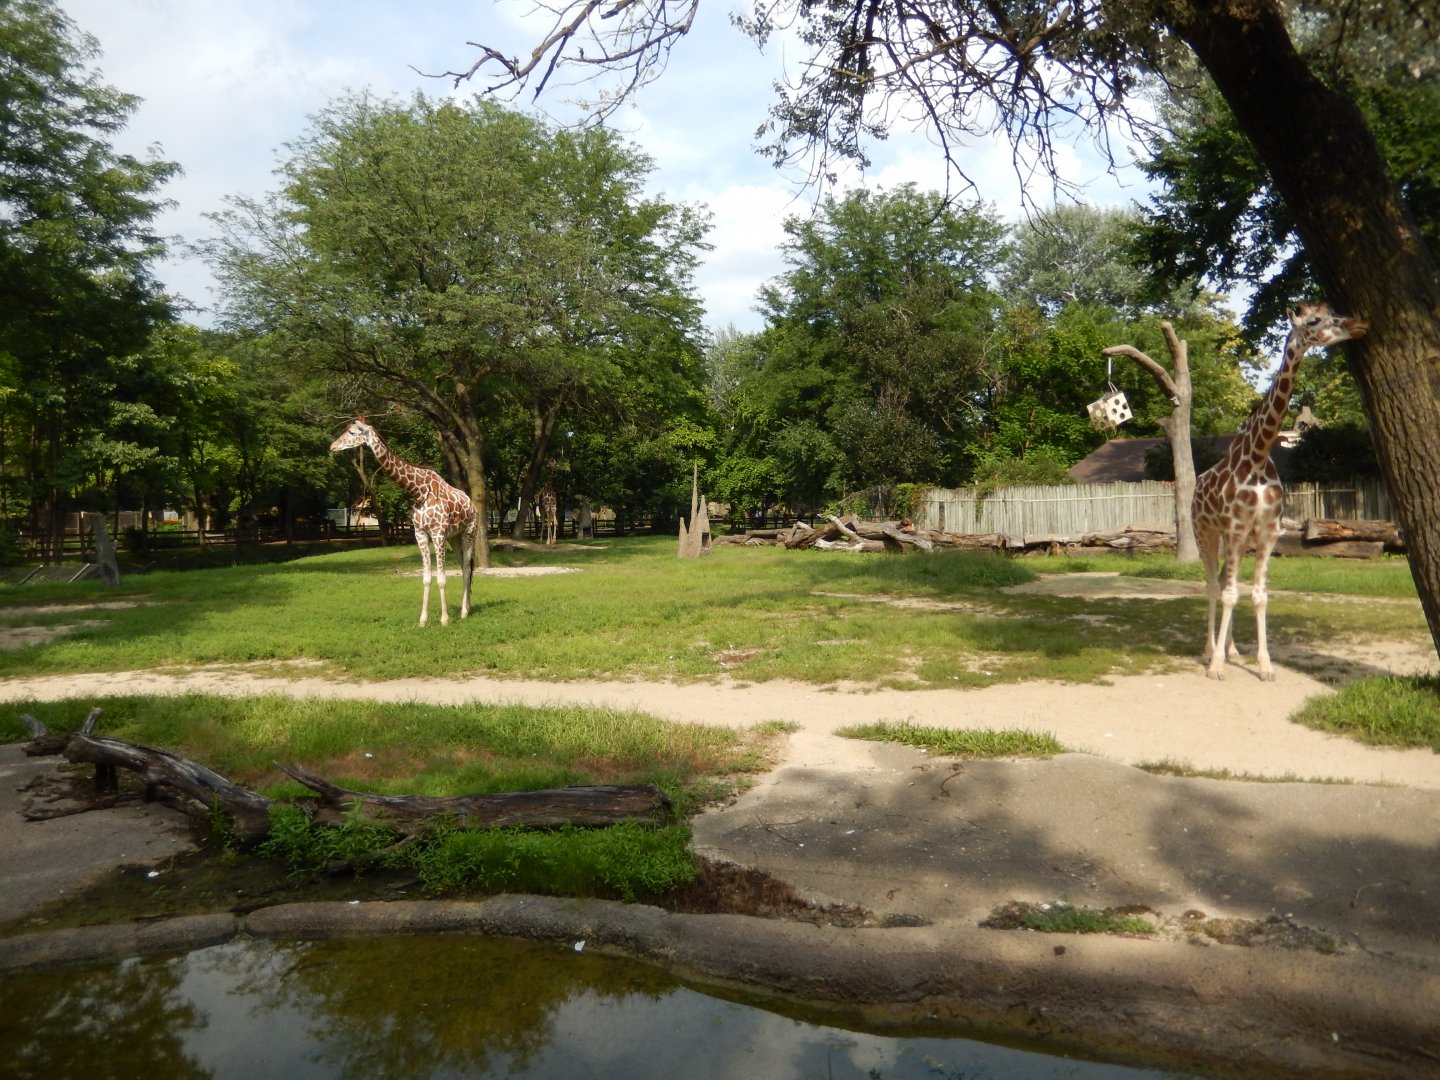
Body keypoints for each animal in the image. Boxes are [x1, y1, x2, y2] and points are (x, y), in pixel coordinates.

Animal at [329, 417, 478, 627]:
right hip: (454, 537)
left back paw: (464, 612)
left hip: (469, 531)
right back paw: (468, 608)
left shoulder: (437, 534)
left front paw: (444, 619)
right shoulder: (421, 534)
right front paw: (423, 620)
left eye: (352, 433)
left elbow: (441, 578)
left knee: (467, 566)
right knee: (466, 567)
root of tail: (473, 504)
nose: (332, 446)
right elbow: (426, 578)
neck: (419, 492)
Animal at [1192, 303, 1368, 680]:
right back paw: (1210, 651)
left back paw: (1231, 651)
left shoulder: (1266, 531)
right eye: (1315, 320)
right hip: (1205, 531)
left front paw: (1265, 666)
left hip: (1236, 539)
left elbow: (1258, 595)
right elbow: (1229, 594)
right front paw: (1217, 667)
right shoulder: (1235, 528)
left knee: (1226, 582)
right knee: (1212, 585)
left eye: (1330, 310)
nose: (1359, 323)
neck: (1258, 457)